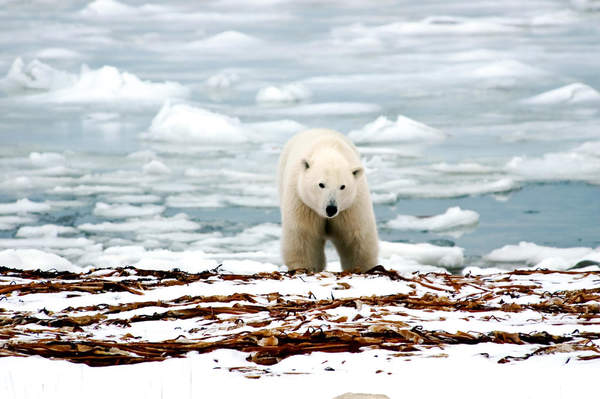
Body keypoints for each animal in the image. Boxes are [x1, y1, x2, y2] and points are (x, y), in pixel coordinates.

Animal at [278, 130, 380, 274]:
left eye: (342, 186)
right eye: (321, 184)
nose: (331, 208)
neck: (329, 150)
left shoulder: (351, 206)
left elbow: (356, 238)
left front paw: (363, 268)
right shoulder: (302, 203)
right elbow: (303, 236)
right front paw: (304, 268)